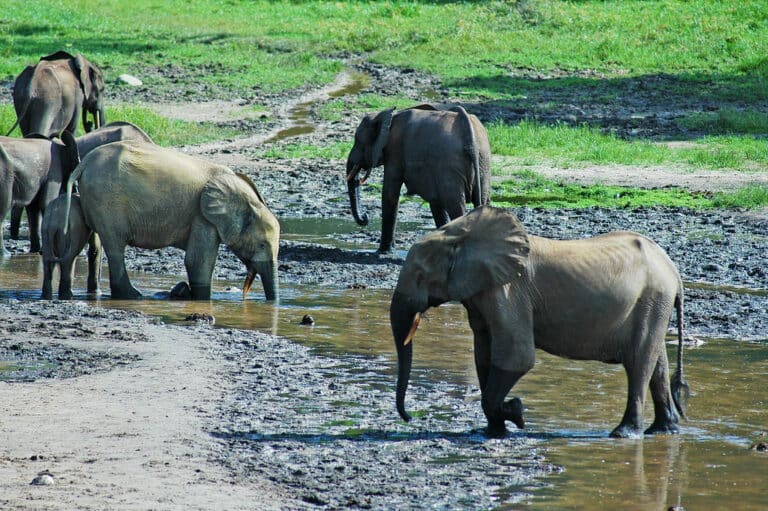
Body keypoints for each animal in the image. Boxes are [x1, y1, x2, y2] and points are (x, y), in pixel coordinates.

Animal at [61, 141, 280, 301]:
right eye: (262, 244)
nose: (268, 303)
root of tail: (85, 161)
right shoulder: (203, 216)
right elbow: (198, 261)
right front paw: (201, 299)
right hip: (107, 202)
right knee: (115, 246)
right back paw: (133, 296)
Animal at [346, 103, 491, 253]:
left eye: (358, 141)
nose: (365, 218)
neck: (385, 116)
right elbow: (436, 202)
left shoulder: (395, 152)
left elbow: (390, 193)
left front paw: (383, 252)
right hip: (483, 162)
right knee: (482, 201)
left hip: (452, 164)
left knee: (456, 207)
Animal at [390, 206, 690, 439]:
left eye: (419, 276)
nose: (409, 418)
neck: (458, 233)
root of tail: (673, 270)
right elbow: (484, 357)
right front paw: (494, 430)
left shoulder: (509, 291)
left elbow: (517, 357)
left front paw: (516, 413)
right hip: (655, 303)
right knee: (656, 362)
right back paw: (663, 431)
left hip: (653, 297)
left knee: (639, 362)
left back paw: (624, 434)